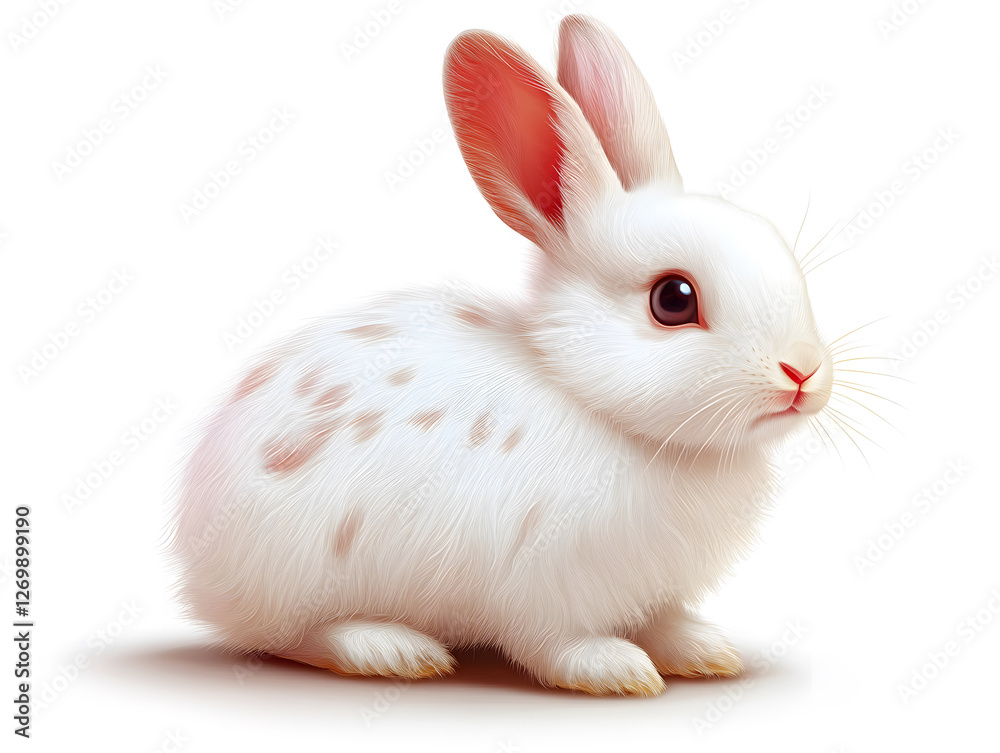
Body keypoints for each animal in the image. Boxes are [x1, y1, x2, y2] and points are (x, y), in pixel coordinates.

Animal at [169, 14, 833, 697]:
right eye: (673, 299)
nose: (803, 372)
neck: (596, 406)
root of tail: (197, 556)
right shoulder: (542, 585)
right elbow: (554, 643)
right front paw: (616, 670)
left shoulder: (653, 590)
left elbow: (664, 620)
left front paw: (704, 650)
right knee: (291, 637)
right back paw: (392, 649)